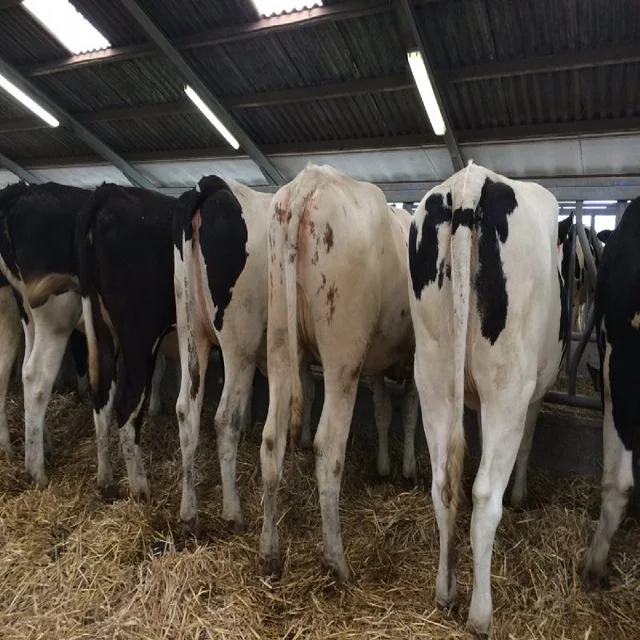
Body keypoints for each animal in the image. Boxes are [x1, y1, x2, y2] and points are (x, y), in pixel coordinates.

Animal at [258, 164, 418, 581]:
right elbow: (409, 411)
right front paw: (408, 471)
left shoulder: (376, 359)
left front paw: (383, 466)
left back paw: (268, 553)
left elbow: (381, 409)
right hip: (342, 354)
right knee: (328, 447)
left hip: (279, 338)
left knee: (271, 440)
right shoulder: (414, 356)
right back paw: (336, 560)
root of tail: (312, 178)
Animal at [408, 162, 566, 637]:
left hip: (433, 377)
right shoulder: (532, 395)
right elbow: (528, 443)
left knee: (443, 483)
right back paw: (480, 614)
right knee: (483, 498)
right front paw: (521, 495)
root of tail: (469, 183)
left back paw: (445, 591)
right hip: (506, 386)